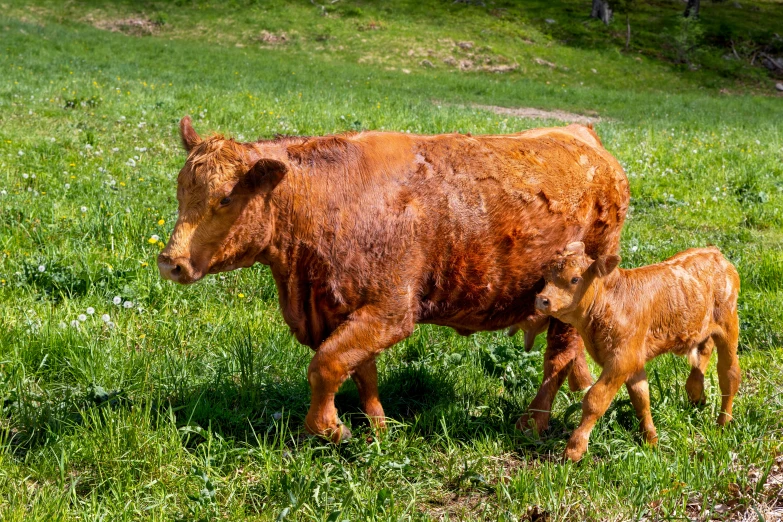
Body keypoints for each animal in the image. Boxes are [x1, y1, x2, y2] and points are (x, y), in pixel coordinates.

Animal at [159, 116, 632, 440]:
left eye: (225, 198)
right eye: (180, 190)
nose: (170, 261)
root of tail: (582, 134)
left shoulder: (391, 310)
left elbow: (325, 365)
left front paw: (330, 428)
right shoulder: (347, 311)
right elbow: (358, 370)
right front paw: (379, 427)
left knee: (557, 358)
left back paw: (532, 423)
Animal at [536, 240, 744, 460]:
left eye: (575, 279)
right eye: (547, 276)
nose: (542, 299)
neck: (611, 303)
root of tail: (713, 251)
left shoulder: (621, 360)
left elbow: (595, 399)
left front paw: (574, 450)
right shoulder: (634, 360)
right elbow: (641, 398)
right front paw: (651, 441)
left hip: (729, 325)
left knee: (729, 374)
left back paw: (723, 423)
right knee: (703, 354)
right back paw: (696, 395)